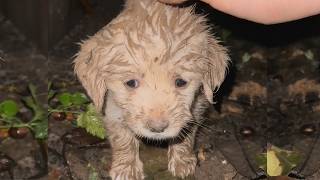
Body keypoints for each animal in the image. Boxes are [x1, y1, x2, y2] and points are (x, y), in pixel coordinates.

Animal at [74, 0, 230, 179]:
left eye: (180, 82)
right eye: (131, 83)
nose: (157, 128)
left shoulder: (196, 106)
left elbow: (186, 134)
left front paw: (182, 161)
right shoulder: (111, 107)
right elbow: (123, 138)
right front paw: (127, 168)